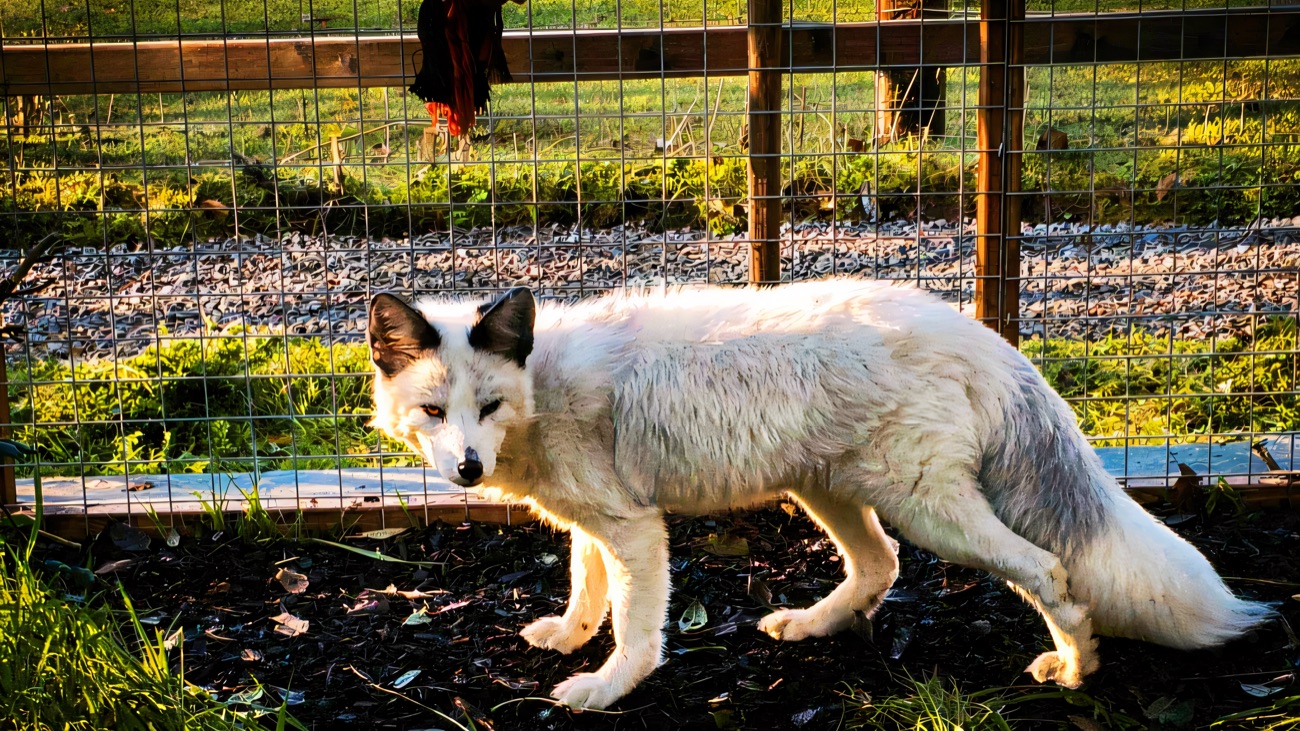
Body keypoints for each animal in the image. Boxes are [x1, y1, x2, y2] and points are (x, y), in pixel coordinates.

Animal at [366, 279, 1271, 710]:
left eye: (488, 406)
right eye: (435, 411)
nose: (467, 470)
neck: (543, 384)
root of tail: (975, 333)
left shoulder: (636, 529)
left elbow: (635, 627)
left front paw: (607, 687)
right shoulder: (594, 522)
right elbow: (585, 588)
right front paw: (567, 636)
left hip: (930, 510)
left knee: (1047, 568)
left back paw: (1078, 666)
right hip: (832, 491)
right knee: (882, 566)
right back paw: (811, 625)